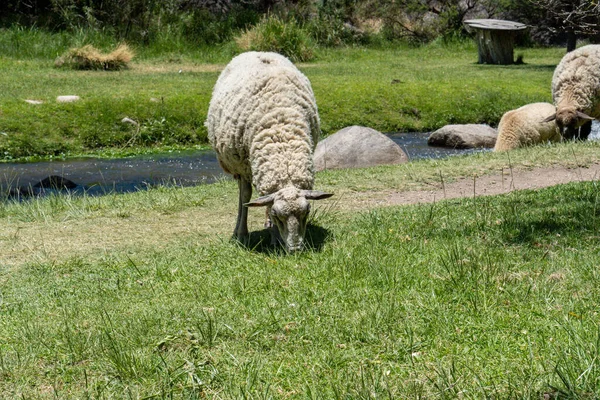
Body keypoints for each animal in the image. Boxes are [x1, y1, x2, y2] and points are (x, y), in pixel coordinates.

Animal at [204, 51, 330, 252]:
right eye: (277, 214)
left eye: (307, 212)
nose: (295, 249)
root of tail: (257, 52)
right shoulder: (245, 167)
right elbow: (247, 197)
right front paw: (245, 233)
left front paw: (273, 234)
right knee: (244, 196)